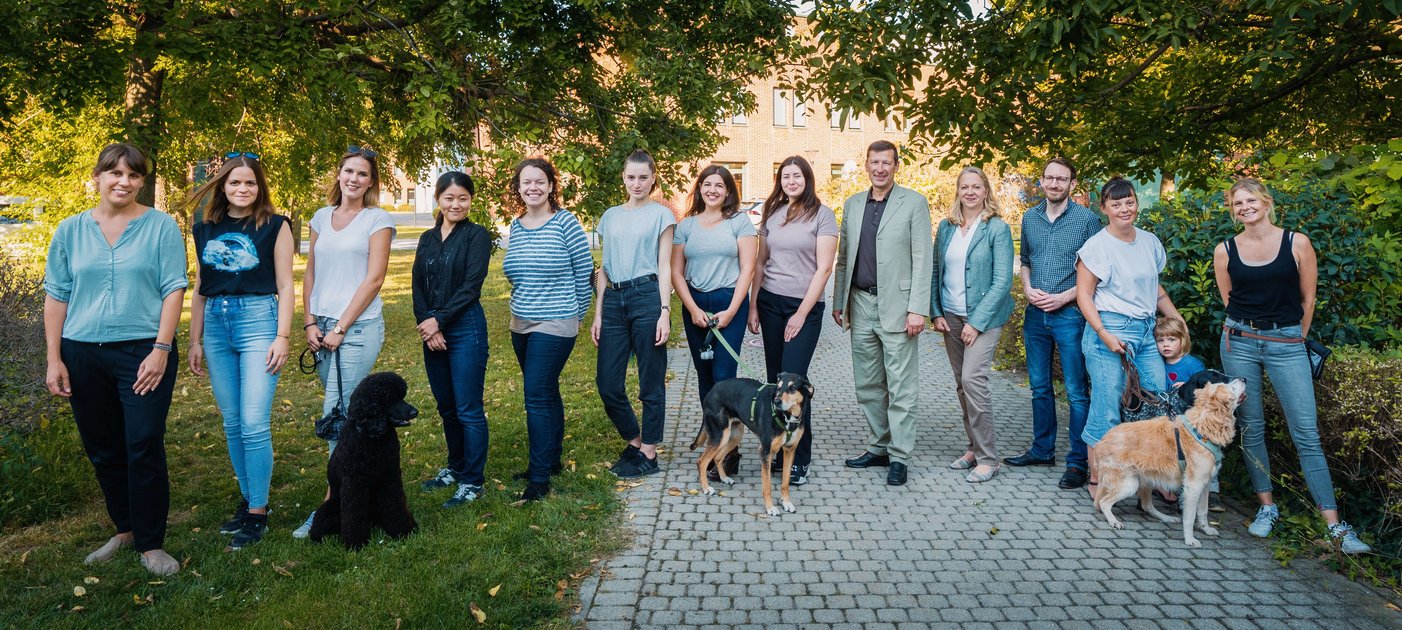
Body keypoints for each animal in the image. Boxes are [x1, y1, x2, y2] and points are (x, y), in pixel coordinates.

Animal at [689, 370, 813, 513]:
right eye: (778, 387)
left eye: (792, 388)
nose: (776, 401)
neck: (787, 417)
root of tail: (712, 390)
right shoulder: (765, 451)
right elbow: (767, 485)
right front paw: (770, 508)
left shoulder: (790, 450)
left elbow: (785, 482)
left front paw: (786, 503)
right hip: (719, 435)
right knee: (701, 461)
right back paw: (706, 488)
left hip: (734, 436)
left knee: (718, 457)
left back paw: (724, 478)